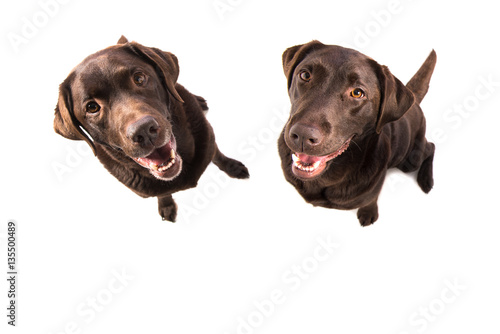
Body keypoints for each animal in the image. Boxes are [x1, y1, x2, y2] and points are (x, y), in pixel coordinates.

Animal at [53, 36, 249, 220]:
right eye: (92, 107)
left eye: (139, 78)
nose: (144, 130)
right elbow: (163, 194)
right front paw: (166, 206)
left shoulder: (209, 141)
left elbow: (218, 156)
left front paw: (233, 166)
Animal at [280, 40, 436, 226]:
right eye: (304, 75)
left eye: (357, 93)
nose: (302, 135)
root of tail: (415, 101)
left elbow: (371, 199)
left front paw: (368, 212)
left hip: (410, 159)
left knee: (431, 147)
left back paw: (426, 179)